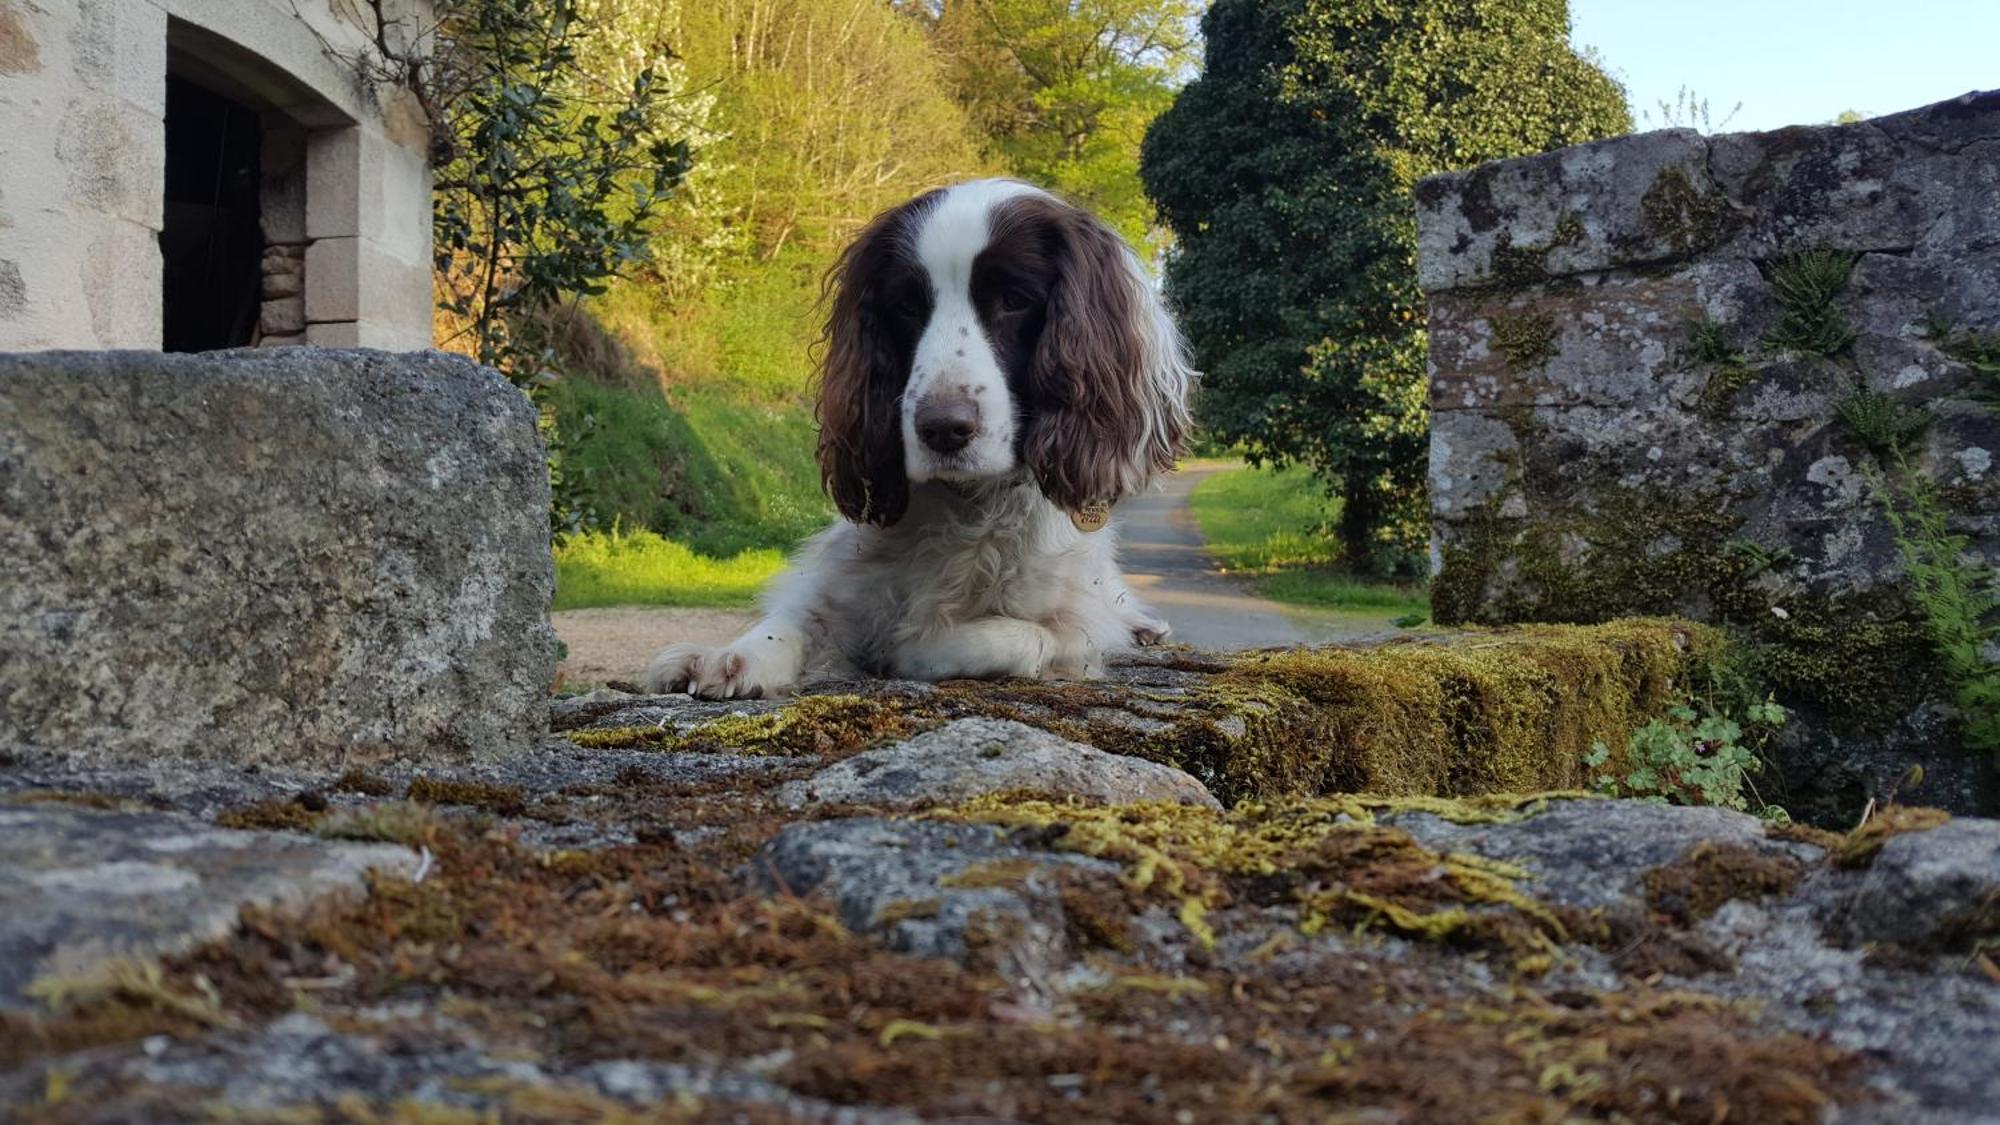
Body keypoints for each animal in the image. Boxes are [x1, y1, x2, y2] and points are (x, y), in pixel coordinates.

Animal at [648, 179, 1192, 696]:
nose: (942, 429)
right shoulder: (839, 582)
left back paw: (1145, 625)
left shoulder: (1076, 632)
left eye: (1015, 300)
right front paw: (725, 656)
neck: (967, 507)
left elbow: (1013, 637)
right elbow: (792, 620)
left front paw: (910, 647)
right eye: (907, 306)